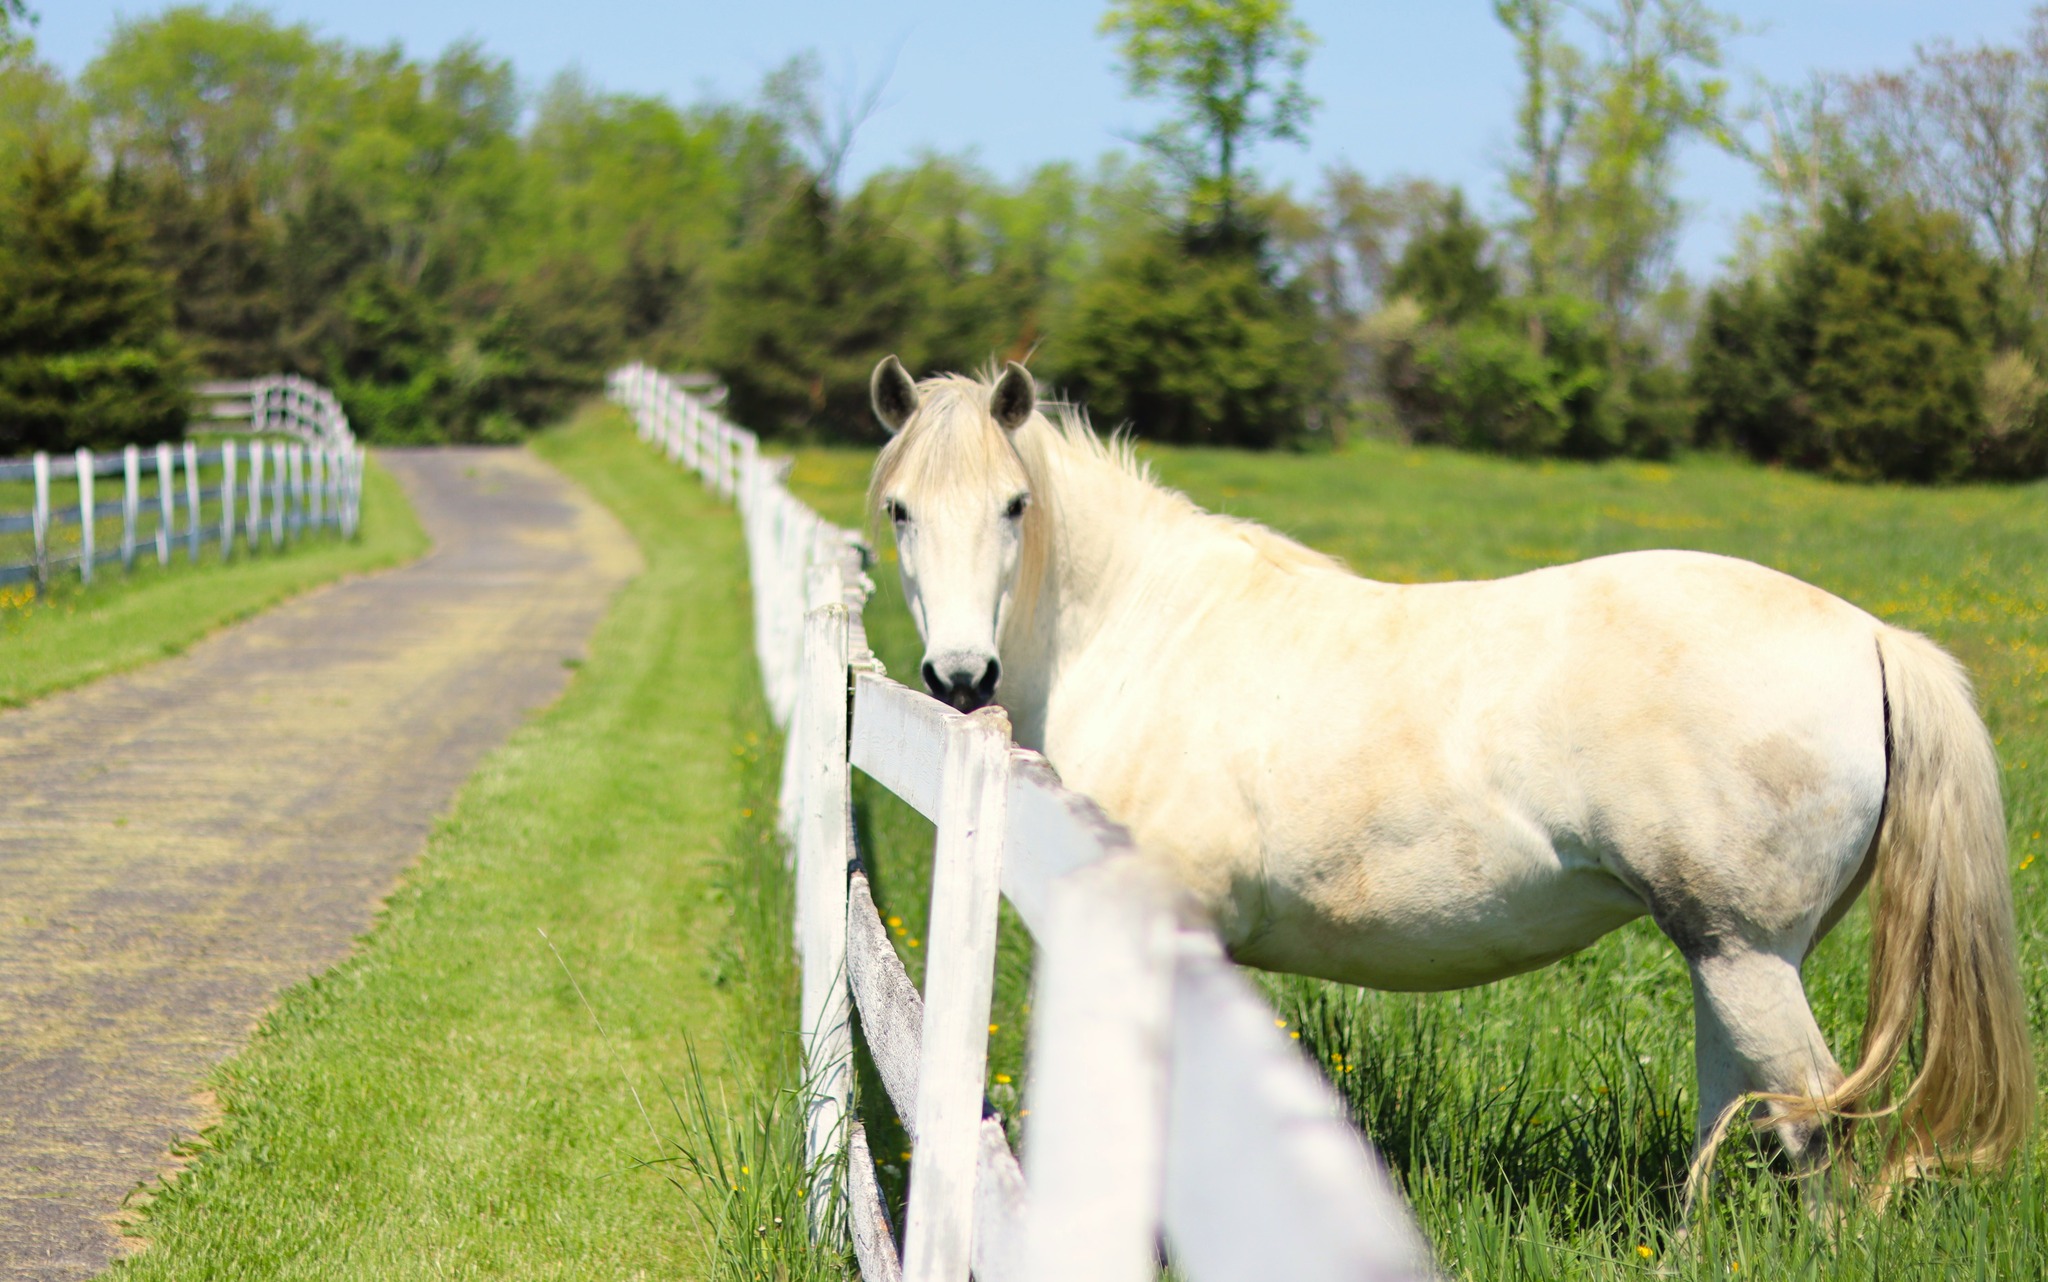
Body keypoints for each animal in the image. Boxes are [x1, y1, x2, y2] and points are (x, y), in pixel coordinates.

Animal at [862, 355, 2034, 1203]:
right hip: (1731, 956)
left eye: (1015, 505)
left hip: (1744, 954)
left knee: (1809, 1119)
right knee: (1734, 1110)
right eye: (901, 511)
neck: (1144, 631)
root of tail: (1870, 636)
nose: (960, 679)